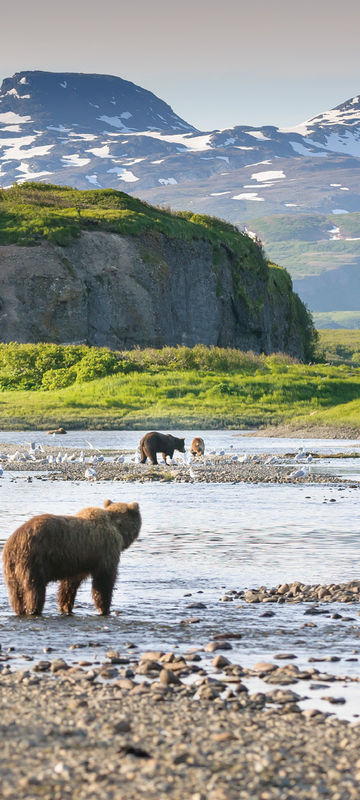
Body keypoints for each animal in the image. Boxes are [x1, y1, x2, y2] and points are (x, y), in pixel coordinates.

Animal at [2, 496, 141, 616]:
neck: (117, 528)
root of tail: (14, 542)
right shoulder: (106, 551)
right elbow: (103, 581)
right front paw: (105, 609)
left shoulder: (77, 562)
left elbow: (69, 585)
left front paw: (66, 607)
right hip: (34, 560)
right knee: (34, 590)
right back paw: (34, 610)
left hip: (11, 569)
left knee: (15, 594)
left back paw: (19, 610)